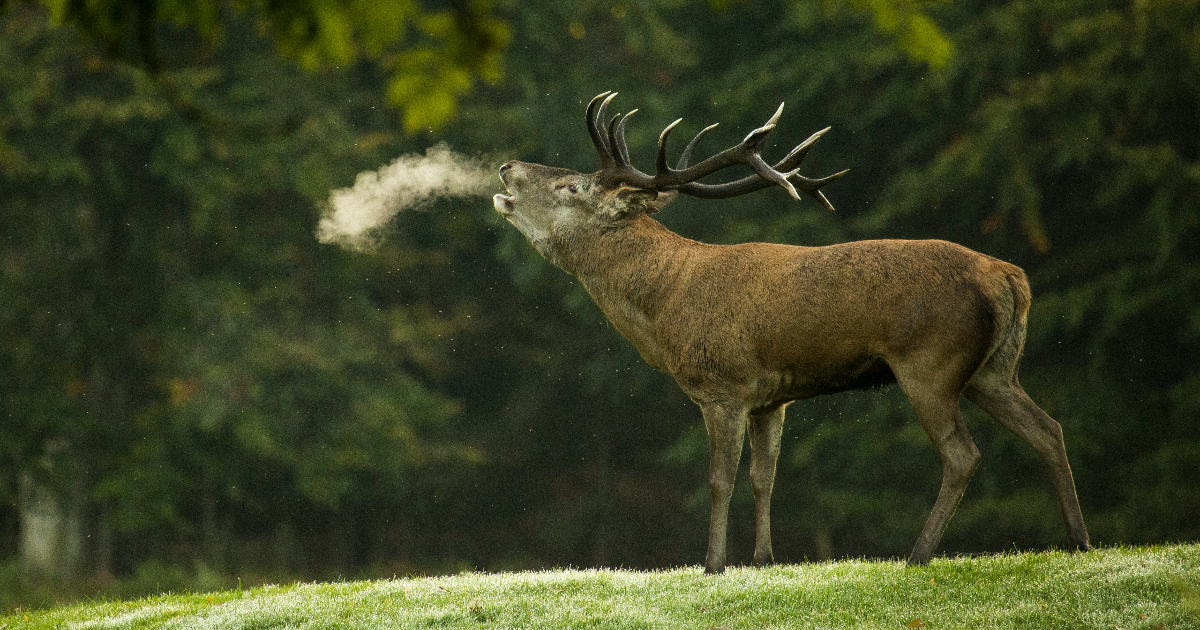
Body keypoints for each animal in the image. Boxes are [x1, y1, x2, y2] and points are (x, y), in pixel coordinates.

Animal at [492, 92, 1091, 574]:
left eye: (569, 185)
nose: (504, 167)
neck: (666, 310)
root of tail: (1010, 278)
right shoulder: (771, 398)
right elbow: (765, 476)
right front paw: (763, 559)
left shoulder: (724, 386)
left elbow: (720, 480)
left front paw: (713, 565)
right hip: (993, 369)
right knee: (1049, 428)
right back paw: (1079, 540)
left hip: (931, 362)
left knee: (963, 454)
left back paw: (917, 555)